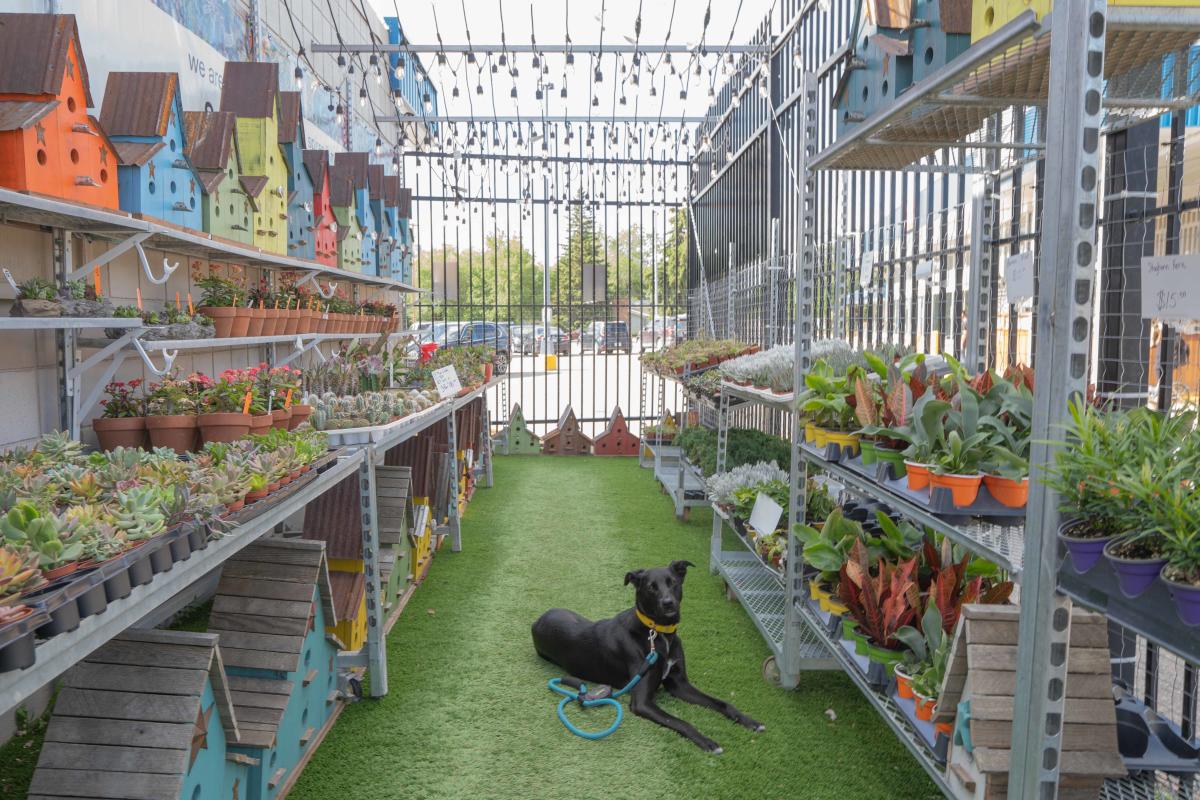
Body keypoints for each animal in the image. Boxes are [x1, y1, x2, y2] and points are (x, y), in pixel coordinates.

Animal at [532, 561, 763, 753]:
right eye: (651, 587)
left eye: (673, 583)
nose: (668, 603)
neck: (659, 633)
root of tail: (537, 620)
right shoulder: (642, 702)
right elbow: (679, 721)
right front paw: (706, 741)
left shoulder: (679, 684)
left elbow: (721, 703)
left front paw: (749, 720)